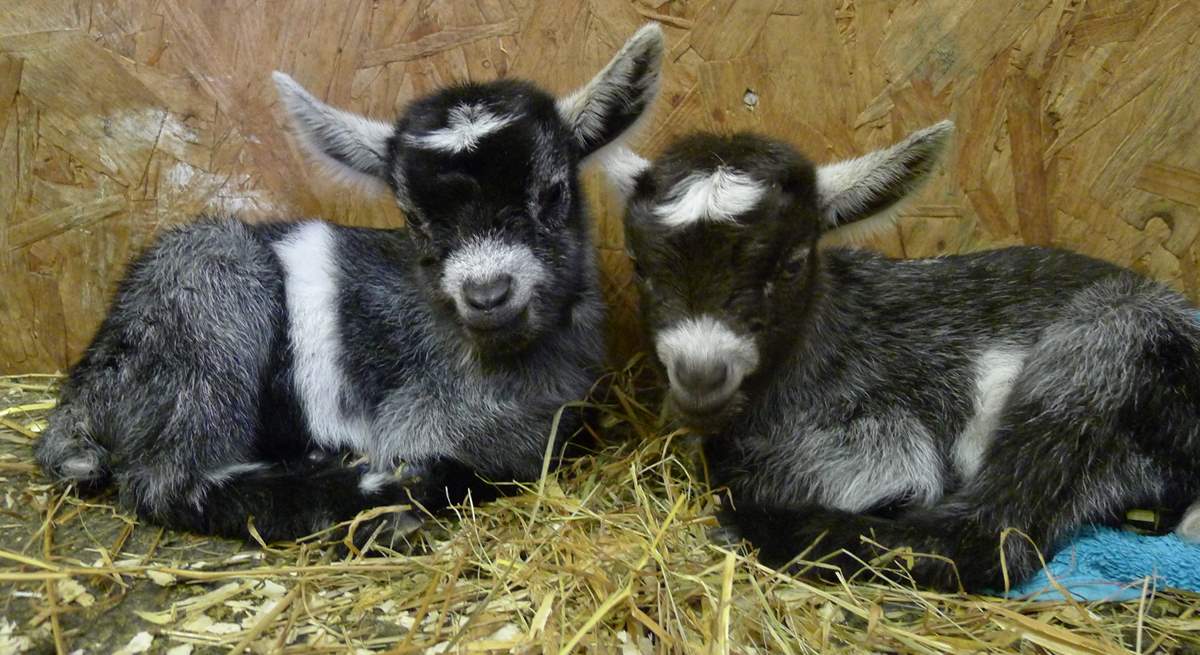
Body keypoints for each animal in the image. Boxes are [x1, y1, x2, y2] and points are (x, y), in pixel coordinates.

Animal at [35, 24, 667, 539]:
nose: (487, 294)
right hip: (211, 316)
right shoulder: (413, 426)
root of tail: (80, 398)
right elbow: (456, 468)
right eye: (413, 218)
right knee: (166, 480)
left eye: (552, 194)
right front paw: (399, 486)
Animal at [604, 124, 1200, 587]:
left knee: (993, 535)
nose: (701, 376)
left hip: (1100, 352)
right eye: (637, 264)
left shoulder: (887, 433)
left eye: (792, 263)